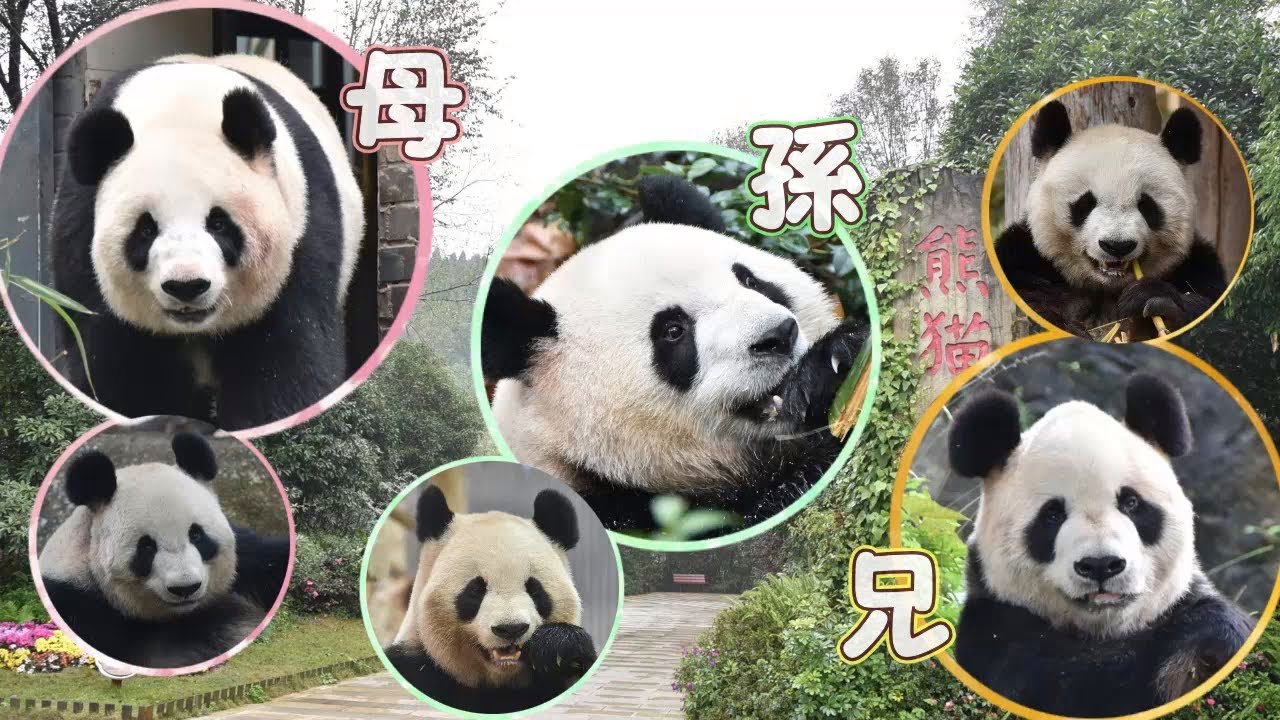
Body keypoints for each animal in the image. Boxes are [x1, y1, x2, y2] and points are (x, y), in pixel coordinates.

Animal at [37, 432, 290, 669]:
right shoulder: (79, 606)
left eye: (196, 535)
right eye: (147, 546)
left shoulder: (248, 559)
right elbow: (164, 651)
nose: (185, 588)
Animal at [51, 53, 365, 430]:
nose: (186, 286)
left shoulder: (302, 234)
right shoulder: (81, 243)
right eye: (145, 229)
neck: (180, 105)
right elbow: (119, 370)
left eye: (218, 223)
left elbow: (286, 360)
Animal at [384, 485, 597, 713]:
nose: (511, 628)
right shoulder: (415, 665)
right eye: (475, 590)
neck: (501, 682)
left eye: (534, 589)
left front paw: (558, 647)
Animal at [948, 373, 1251, 717]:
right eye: (1052, 514)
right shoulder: (998, 629)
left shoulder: (1181, 599)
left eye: (1131, 502)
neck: (1105, 630)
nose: (1101, 564)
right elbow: (1082, 686)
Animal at [995, 99, 1227, 338]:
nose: (1117, 246)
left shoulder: (1198, 269)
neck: (1107, 287)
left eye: (1146, 205)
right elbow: (1033, 297)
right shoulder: (1024, 258)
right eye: (1086, 202)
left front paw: (1154, 300)